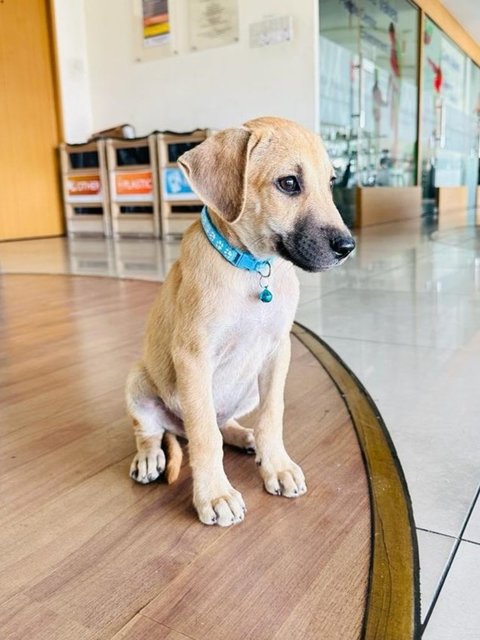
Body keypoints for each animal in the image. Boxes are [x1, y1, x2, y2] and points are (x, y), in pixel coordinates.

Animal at [125, 115, 354, 524]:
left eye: (330, 182)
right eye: (289, 183)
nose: (348, 247)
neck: (252, 268)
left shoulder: (278, 351)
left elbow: (272, 415)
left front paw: (277, 465)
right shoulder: (194, 357)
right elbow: (205, 437)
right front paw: (214, 494)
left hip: (247, 389)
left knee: (223, 422)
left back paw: (244, 437)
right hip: (137, 383)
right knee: (153, 431)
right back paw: (150, 457)